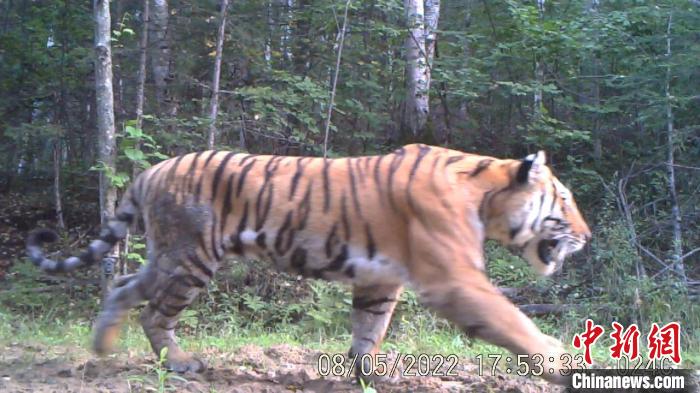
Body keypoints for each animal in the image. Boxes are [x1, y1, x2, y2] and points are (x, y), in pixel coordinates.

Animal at [30, 143, 592, 382]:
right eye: (564, 201)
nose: (586, 238)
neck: (485, 194)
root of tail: (149, 172)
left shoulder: (379, 277)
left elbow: (369, 328)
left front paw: (368, 373)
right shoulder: (453, 279)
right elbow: (511, 321)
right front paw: (557, 359)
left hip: (167, 255)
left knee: (124, 284)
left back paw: (101, 347)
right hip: (189, 258)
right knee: (153, 312)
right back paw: (182, 364)